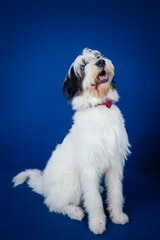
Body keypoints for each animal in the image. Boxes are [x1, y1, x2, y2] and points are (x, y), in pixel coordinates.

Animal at [12, 48, 130, 234]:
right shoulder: (88, 167)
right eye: (82, 65)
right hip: (72, 182)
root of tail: (44, 185)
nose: (101, 62)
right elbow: (94, 201)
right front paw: (97, 223)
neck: (99, 107)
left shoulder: (114, 163)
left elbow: (116, 192)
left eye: (97, 56)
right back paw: (74, 211)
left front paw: (117, 215)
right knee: (52, 204)